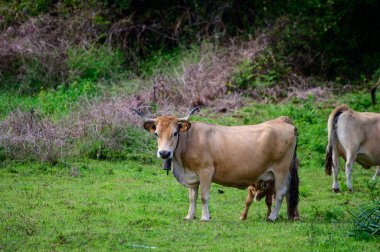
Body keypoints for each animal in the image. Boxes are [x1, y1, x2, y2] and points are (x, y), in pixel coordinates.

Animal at [136, 107, 300, 221]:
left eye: (175, 133)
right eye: (156, 133)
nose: (164, 153)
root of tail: (282, 120)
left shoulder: (206, 172)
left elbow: (204, 196)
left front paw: (205, 217)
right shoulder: (192, 176)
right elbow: (192, 197)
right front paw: (190, 216)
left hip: (280, 169)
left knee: (281, 192)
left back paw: (272, 217)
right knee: (288, 193)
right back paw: (289, 216)